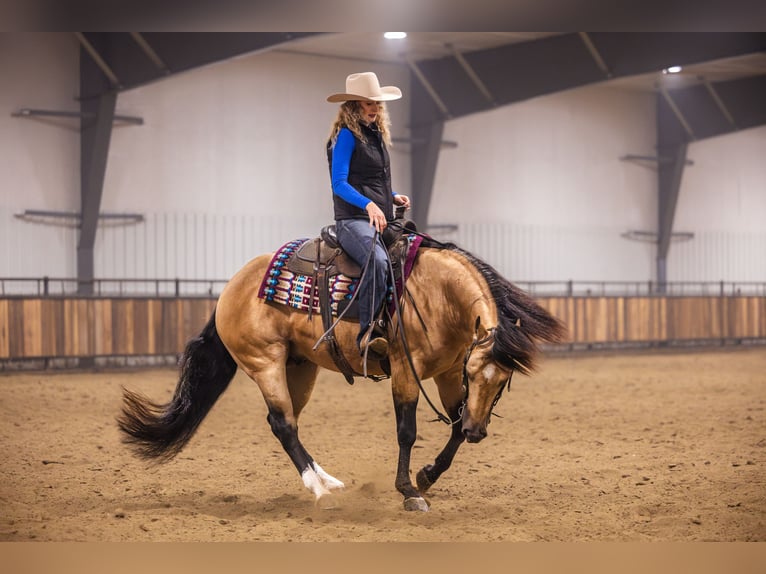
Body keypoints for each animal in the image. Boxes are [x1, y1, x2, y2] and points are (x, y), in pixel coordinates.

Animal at [117, 235, 565, 511]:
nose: (479, 432)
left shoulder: (446, 372)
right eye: (475, 374)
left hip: (299, 368)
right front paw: (409, 492)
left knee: (287, 423)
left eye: (501, 381)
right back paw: (320, 491)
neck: (437, 294)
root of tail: (230, 288)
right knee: (283, 424)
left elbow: (452, 426)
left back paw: (327, 480)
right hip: (265, 362)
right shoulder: (407, 370)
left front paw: (426, 476)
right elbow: (407, 431)